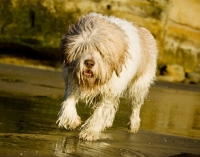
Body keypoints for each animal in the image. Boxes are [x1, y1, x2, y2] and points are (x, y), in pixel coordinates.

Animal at [56, 12, 158, 141]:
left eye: (101, 52)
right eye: (83, 48)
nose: (89, 63)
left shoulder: (110, 92)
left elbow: (100, 113)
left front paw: (90, 132)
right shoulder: (72, 81)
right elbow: (68, 102)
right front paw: (71, 121)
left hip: (139, 86)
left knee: (135, 106)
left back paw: (134, 124)